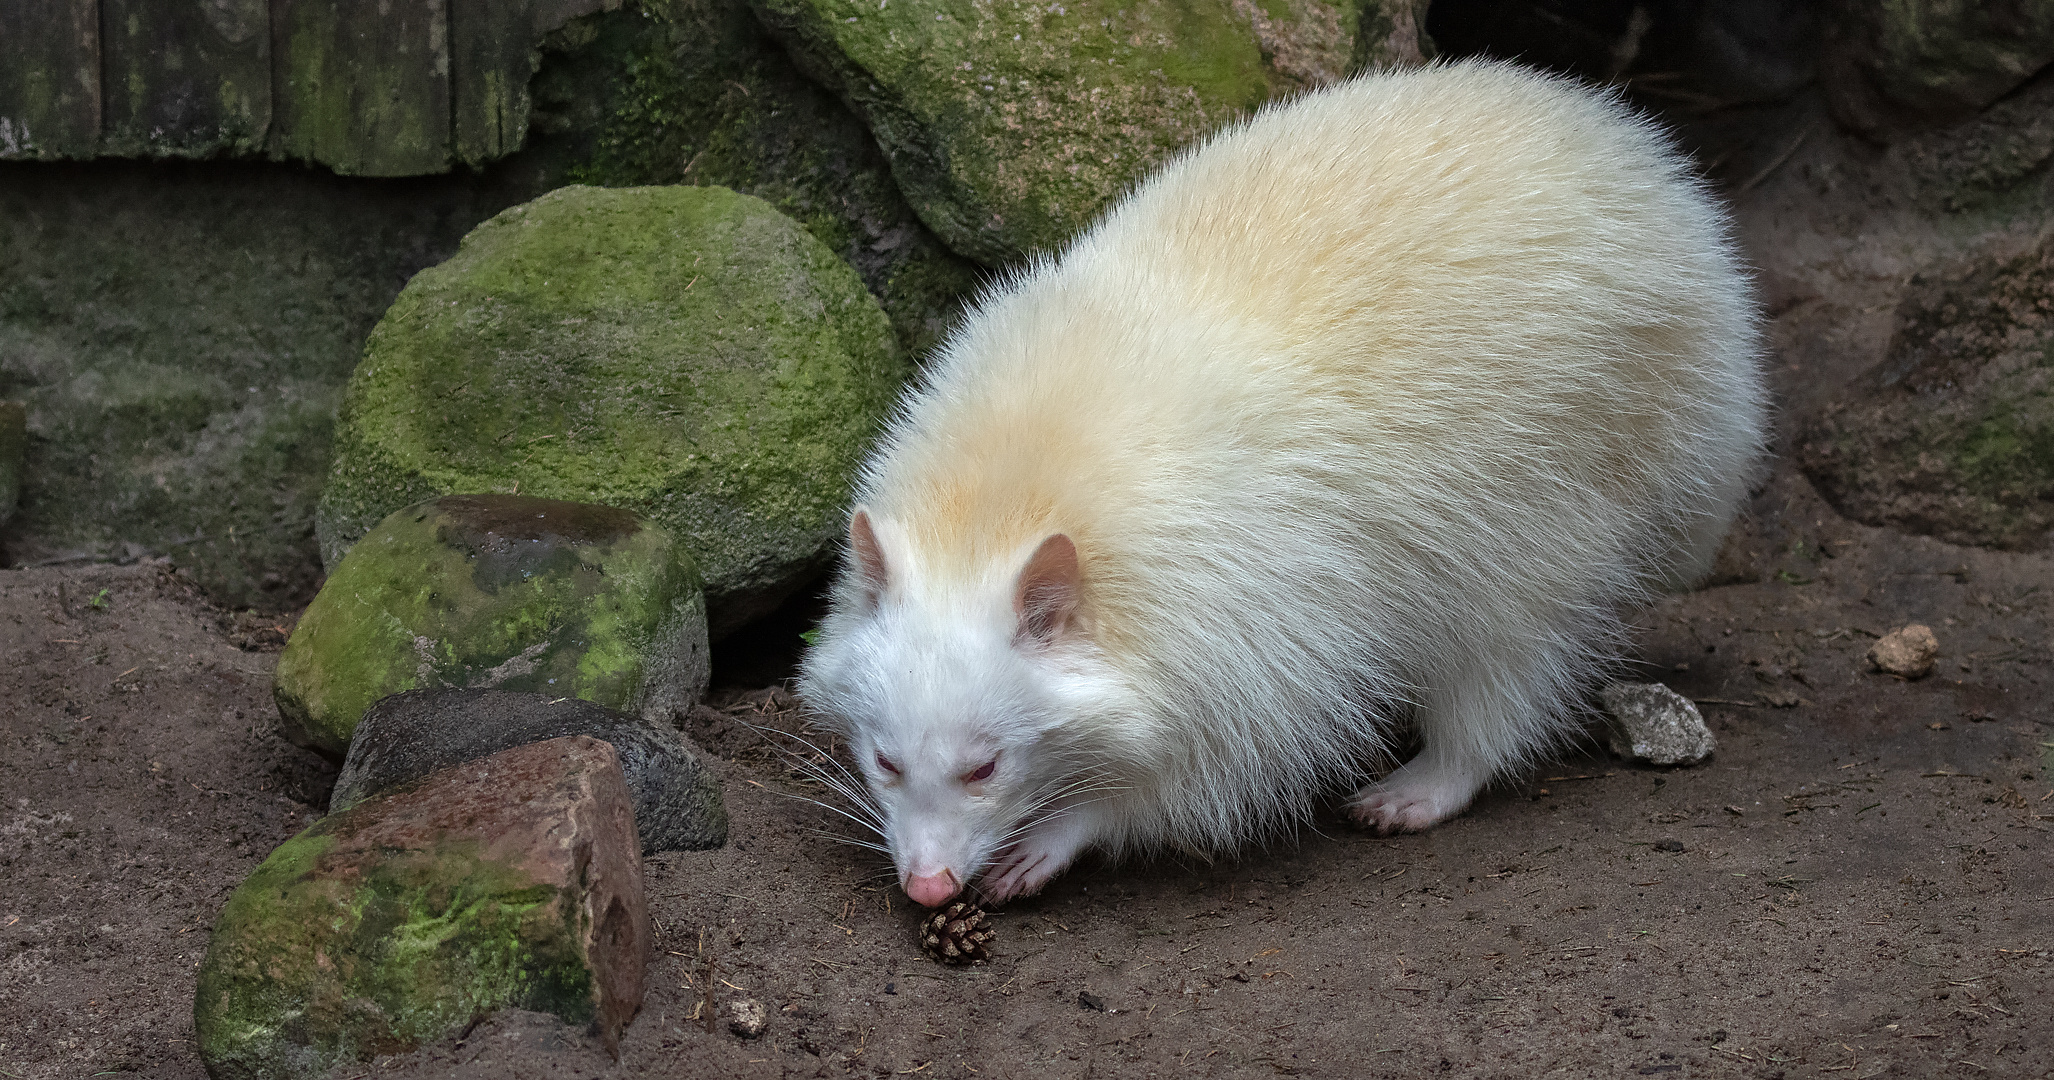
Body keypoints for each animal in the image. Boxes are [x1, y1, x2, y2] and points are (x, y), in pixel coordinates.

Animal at [792, 57, 1758, 907]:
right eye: (885, 762)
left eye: (984, 767)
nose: (928, 887)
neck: (1000, 501)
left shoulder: (1259, 607)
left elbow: (1231, 760)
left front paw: (1070, 828)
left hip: (1571, 457)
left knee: (1510, 640)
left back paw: (1435, 775)